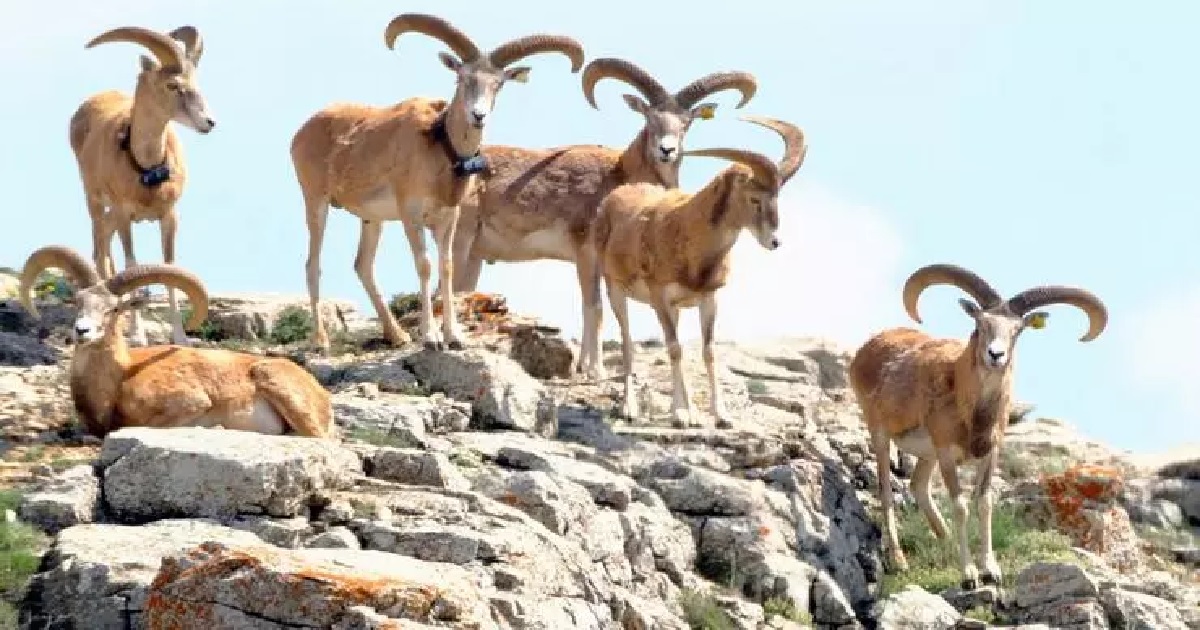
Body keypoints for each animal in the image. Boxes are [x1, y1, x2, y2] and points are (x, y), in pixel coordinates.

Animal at [18, 243, 336, 439]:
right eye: (77, 301)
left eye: (114, 309)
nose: (82, 331)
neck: (120, 378)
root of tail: (320, 394)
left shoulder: (190, 403)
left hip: (277, 385)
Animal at [451, 57, 758, 379]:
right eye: (650, 117)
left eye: (686, 122)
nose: (667, 150)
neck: (619, 177)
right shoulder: (586, 255)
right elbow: (595, 308)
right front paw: (595, 370)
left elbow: (591, 310)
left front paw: (584, 366)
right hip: (460, 241)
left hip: (475, 256)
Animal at [849, 264, 1108, 590]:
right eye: (982, 323)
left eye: (1017, 330)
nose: (995, 355)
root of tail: (867, 349)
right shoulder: (947, 453)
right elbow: (961, 505)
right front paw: (969, 575)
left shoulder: (989, 453)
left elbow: (984, 503)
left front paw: (990, 571)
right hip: (882, 436)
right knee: (886, 492)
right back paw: (899, 560)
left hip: (927, 455)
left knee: (918, 486)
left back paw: (945, 541)